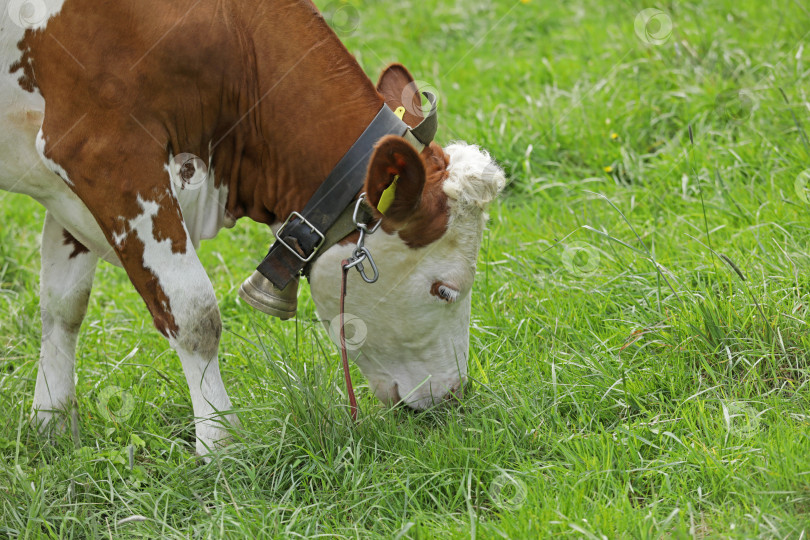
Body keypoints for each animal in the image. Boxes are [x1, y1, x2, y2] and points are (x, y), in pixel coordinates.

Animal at [0, 0, 502, 456]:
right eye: (444, 290)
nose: (454, 396)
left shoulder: (70, 183)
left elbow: (63, 306)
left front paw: (51, 426)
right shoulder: (109, 157)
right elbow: (194, 314)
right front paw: (221, 445)